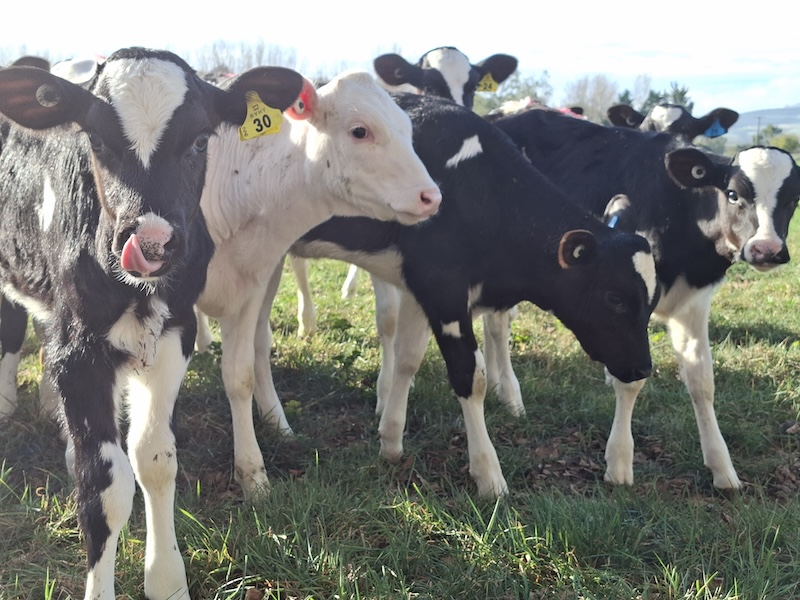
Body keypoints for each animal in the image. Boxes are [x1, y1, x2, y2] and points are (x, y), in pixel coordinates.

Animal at [0, 47, 304, 600]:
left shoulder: (174, 335)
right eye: (95, 140)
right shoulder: (80, 351)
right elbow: (104, 486)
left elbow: (154, 459)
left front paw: (166, 580)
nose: (152, 242)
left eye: (201, 139)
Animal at [260, 93, 659, 498]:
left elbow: (408, 359)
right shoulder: (444, 288)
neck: (482, 191)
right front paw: (488, 474)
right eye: (614, 297)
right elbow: (471, 374)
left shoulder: (423, 284)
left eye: (651, 302)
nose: (642, 368)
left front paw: (391, 439)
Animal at [492, 107, 800, 489]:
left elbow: (702, 381)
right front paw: (619, 463)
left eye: (794, 198)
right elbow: (633, 378)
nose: (766, 249)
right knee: (497, 325)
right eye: (732, 194)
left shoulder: (694, 301)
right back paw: (509, 393)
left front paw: (722, 467)